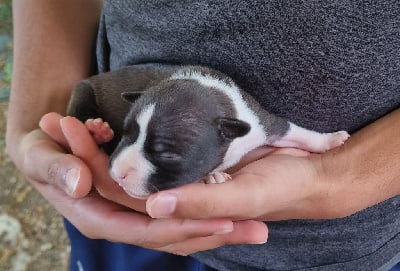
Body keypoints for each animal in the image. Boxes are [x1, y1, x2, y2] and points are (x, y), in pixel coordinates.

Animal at [67, 64, 348, 200]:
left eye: (167, 155)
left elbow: (296, 131)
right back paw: (95, 129)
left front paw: (330, 140)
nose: (119, 174)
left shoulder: (261, 121)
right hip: (82, 91)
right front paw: (212, 176)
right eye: (126, 134)